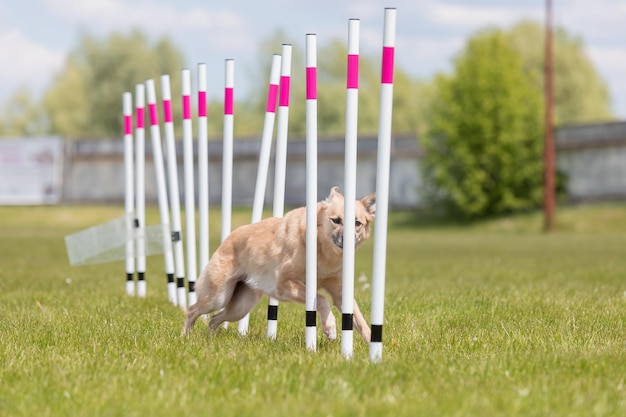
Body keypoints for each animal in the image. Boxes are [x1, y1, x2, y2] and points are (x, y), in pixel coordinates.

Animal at [180, 186, 376, 342]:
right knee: (193, 310)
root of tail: (229, 238)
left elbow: (358, 319)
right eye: (336, 220)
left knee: (215, 319)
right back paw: (185, 336)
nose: (346, 240)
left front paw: (372, 346)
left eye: (357, 223)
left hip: (240, 307)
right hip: (217, 296)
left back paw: (209, 339)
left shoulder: (339, 292)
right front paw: (330, 326)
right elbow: (321, 298)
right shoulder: (285, 284)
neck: (322, 250)